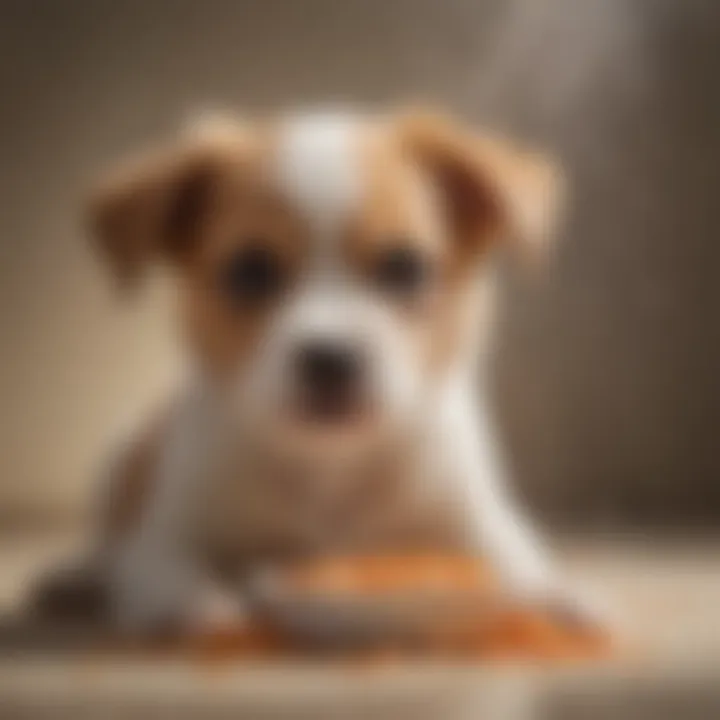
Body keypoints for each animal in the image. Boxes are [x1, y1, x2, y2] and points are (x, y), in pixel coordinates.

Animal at [43, 108, 592, 636]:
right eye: (250, 270)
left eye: (403, 266)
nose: (330, 358)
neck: (329, 467)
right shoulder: (169, 531)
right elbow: (162, 568)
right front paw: (202, 605)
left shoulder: (477, 519)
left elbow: (520, 563)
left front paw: (559, 595)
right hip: (118, 459)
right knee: (109, 543)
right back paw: (78, 574)